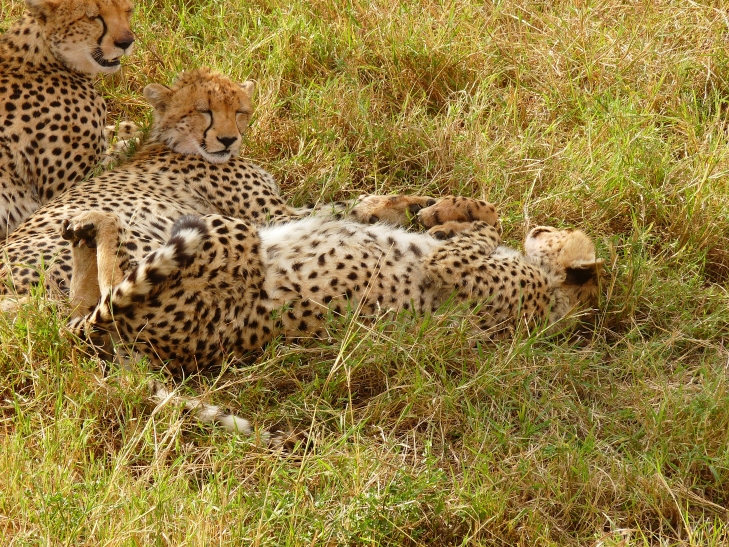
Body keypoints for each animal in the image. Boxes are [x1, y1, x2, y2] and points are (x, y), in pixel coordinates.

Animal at [0, 0, 135, 238]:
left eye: (128, 11)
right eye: (93, 17)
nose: (127, 42)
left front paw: (132, 129)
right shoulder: (64, 187)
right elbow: (121, 155)